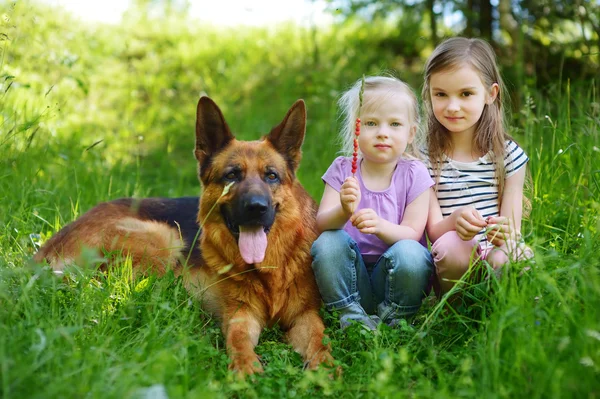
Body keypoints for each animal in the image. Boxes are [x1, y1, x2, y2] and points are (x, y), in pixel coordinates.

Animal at [34, 95, 332, 376]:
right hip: (162, 240)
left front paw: (325, 368)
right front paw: (245, 367)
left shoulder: (305, 314)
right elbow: (237, 341)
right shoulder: (241, 315)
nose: (256, 208)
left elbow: (320, 338)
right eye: (232, 175)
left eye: (271, 176)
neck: (268, 272)